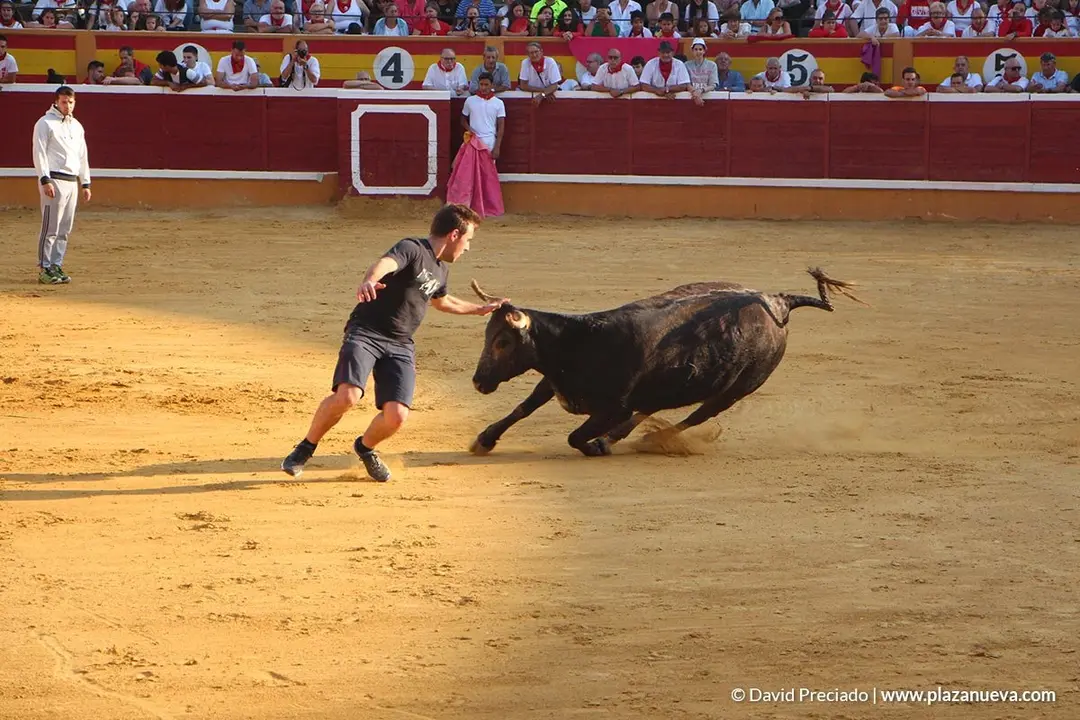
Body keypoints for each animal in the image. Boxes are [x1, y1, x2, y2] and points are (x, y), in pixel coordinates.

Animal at [467, 268, 866, 457]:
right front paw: (484, 440)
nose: (478, 382)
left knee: (696, 416)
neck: (582, 341)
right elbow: (523, 408)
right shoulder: (555, 382)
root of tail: (778, 301)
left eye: (503, 341)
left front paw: (595, 445)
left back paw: (644, 439)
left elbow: (575, 435)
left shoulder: (612, 406)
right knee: (653, 407)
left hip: (737, 389)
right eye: (488, 337)